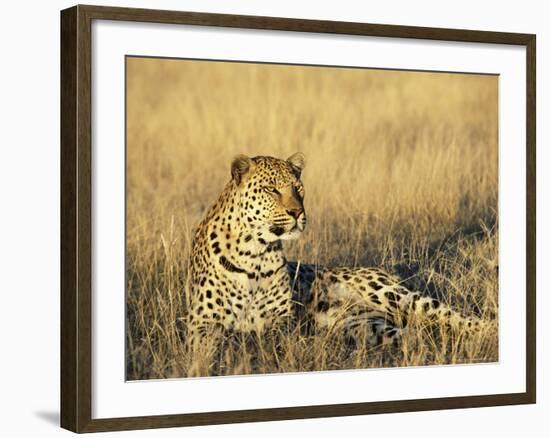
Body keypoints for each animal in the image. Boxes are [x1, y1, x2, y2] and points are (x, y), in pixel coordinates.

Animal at [187, 152, 496, 348]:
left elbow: (268, 338)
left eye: (298, 188)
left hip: (396, 296)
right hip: (365, 325)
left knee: (451, 315)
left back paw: (490, 330)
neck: (256, 252)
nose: (297, 213)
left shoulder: (282, 320)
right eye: (272, 190)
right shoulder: (201, 322)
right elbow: (215, 343)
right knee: (416, 334)